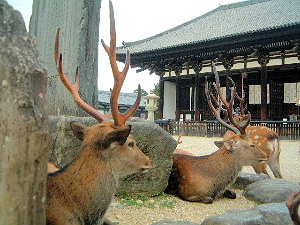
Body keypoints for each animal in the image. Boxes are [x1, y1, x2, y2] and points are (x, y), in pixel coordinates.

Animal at [165, 63, 268, 204]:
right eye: (251, 144)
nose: (266, 156)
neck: (214, 183)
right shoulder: (188, 193)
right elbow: (209, 199)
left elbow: (233, 193)